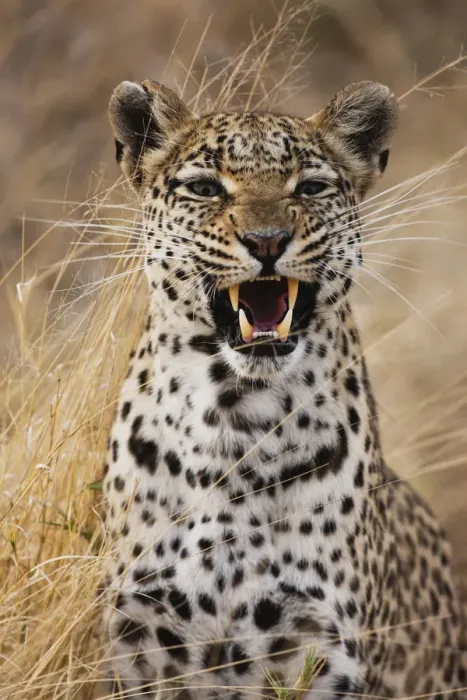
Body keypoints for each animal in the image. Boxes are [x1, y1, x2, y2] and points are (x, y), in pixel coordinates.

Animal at [100, 78, 467, 699]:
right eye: (205, 188)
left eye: (311, 187)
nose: (267, 241)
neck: (234, 415)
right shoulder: (140, 644)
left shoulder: (317, 654)